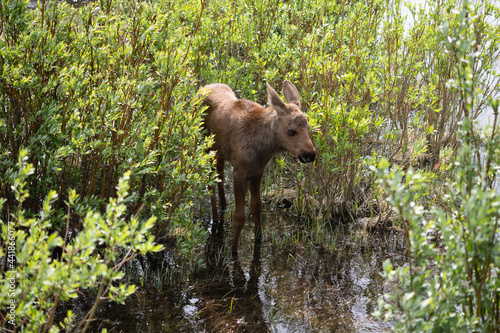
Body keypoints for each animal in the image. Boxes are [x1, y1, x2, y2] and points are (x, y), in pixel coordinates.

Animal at [200, 80, 314, 252]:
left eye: (308, 127)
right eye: (291, 131)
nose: (311, 154)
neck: (264, 148)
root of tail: (205, 86)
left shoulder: (257, 171)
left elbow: (257, 206)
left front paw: (258, 239)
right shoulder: (239, 172)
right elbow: (239, 216)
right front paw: (233, 250)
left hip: (219, 150)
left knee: (219, 172)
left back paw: (223, 205)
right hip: (206, 145)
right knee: (210, 180)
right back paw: (215, 219)